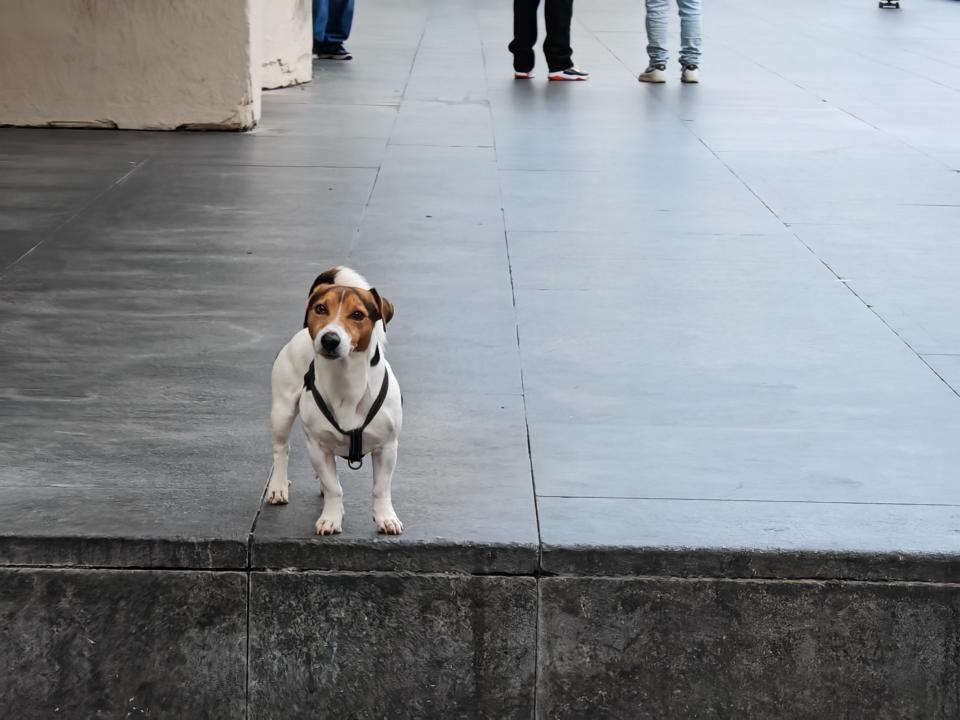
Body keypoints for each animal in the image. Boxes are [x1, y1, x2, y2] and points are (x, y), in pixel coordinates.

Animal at [266, 266, 404, 536]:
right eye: (321, 309)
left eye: (358, 314)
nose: (329, 339)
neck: (346, 379)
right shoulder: (318, 447)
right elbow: (334, 488)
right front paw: (331, 518)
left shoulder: (387, 447)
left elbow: (381, 488)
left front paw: (386, 517)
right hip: (282, 411)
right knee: (281, 450)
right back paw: (278, 486)